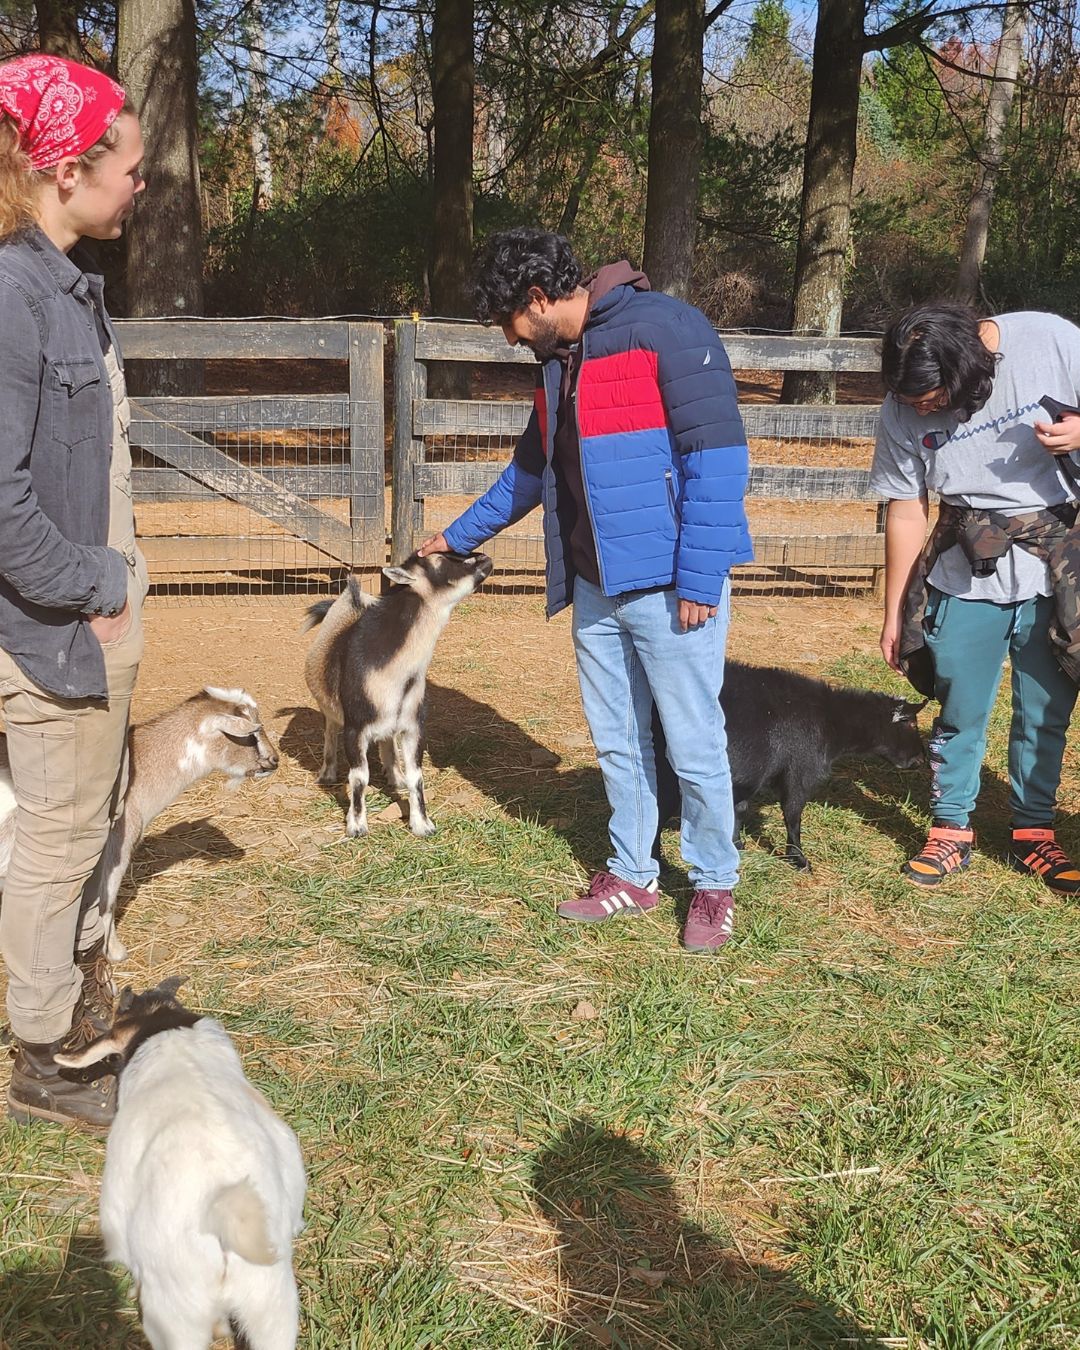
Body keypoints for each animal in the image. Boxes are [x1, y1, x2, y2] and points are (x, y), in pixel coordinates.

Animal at [304, 551, 492, 838]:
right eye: (438, 561)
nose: (483, 557)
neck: (388, 670)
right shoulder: (355, 728)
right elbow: (359, 777)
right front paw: (356, 826)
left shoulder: (414, 725)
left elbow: (417, 776)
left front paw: (422, 824)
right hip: (331, 708)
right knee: (330, 729)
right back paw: (327, 773)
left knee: (387, 741)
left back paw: (395, 777)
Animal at [655, 661, 925, 870]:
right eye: (911, 724)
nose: (920, 760)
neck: (831, 722)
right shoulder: (798, 773)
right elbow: (793, 815)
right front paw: (799, 858)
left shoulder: (750, 775)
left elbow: (739, 808)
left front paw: (737, 844)